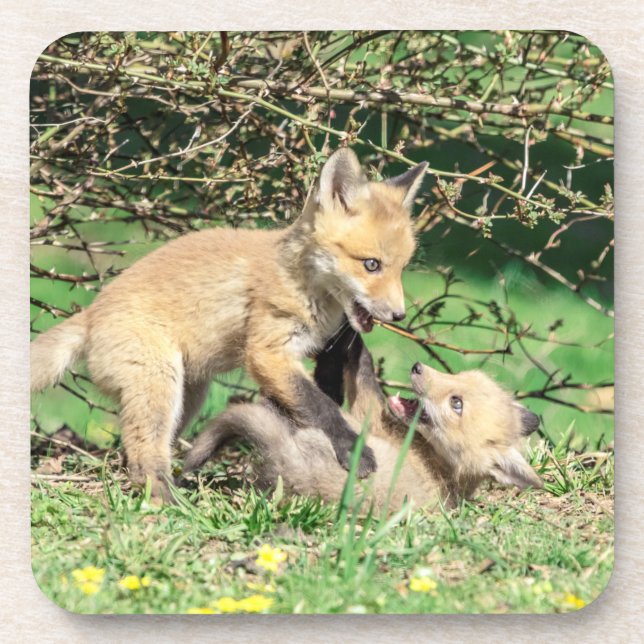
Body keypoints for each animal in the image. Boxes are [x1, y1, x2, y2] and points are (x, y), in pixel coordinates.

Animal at [30, 148, 427, 501]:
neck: (302, 283)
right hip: (160, 384)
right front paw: (351, 448)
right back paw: (167, 499)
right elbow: (319, 405)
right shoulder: (267, 352)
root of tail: (91, 313)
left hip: (188, 395)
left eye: (401, 268)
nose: (399, 316)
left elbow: (315, 399)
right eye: (371, 264)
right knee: (143, 455)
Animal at [184, 332, 543, 511]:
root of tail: (288, 461)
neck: (443, 469)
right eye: (460, 377)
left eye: (457, 403)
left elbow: (364, 371)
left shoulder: (371, 416)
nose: (417, 367)